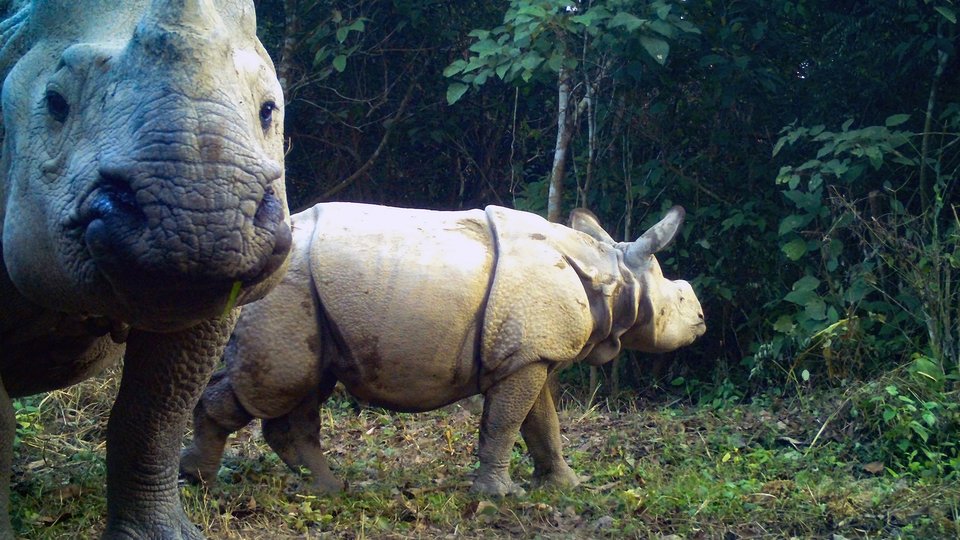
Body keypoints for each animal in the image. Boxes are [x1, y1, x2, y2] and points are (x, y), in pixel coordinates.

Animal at [181, 202, 705, 497]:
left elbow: (542, 424)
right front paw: (500, 496)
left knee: (304, 387)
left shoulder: (531, 353)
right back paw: (202, 484)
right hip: (283, 290)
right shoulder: (525, 356)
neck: (613, 272)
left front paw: (566, 487)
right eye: (679, 301)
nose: (703, 320)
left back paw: (330, 490)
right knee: (277, 385)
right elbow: (505, 422)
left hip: (304, 299)